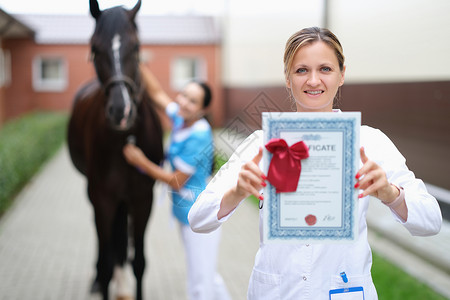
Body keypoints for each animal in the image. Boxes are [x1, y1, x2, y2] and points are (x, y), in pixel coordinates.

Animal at [67, 1, 163, 298]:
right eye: (95, 49)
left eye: (136, 46)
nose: (122, 111)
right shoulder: (103, 198)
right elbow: (109, 261)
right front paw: (105, 278)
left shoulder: (143, 200)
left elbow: (139, 262)